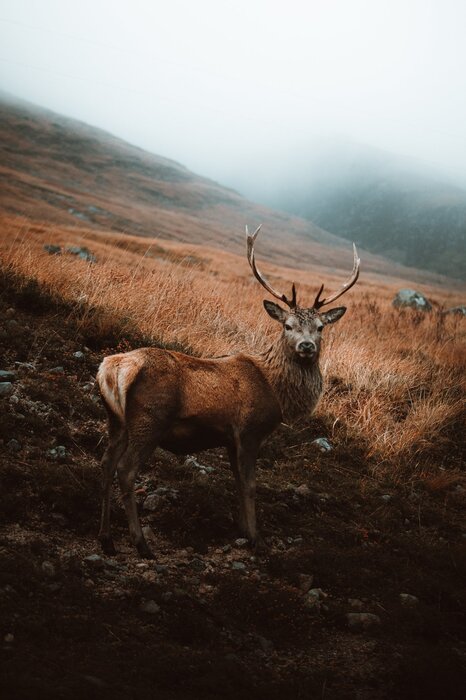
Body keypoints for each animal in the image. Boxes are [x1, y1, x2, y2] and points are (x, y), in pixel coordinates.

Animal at [96, 226, 360, 558]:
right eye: (287, 325)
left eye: (321, 327)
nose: (306, 346)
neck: (275, 390)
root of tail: (113, 368)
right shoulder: (248, 430)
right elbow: (249, 485)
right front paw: (257, 539)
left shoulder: (230, 439)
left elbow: (236, 482)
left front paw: (243, 530)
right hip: (149, 420)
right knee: (126, 470)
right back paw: (141, 543)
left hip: (116, 422)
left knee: (105, 464)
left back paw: (106, 539)